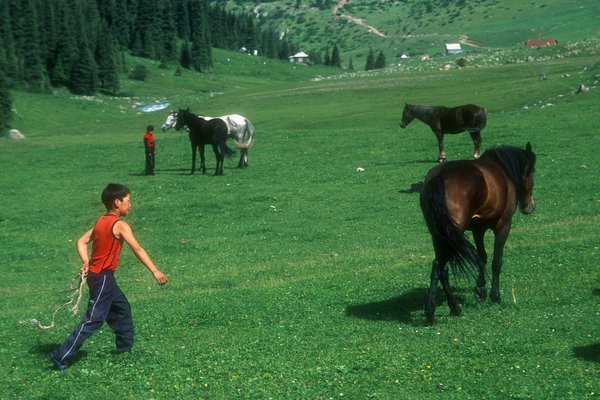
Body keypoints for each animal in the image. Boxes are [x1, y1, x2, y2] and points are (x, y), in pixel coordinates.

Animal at [420, 142, 536, 324]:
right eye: (533, 170)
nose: (529, 207)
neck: (501, 169)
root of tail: (440, 176)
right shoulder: (503, 226)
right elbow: (496, 261)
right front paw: (494, 295)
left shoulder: (478, 229)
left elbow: (482, 256)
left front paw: (480, 288)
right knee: (441, 267)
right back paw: (432, 312)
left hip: (439, 235)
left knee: (441, 268)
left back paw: (453, 308)